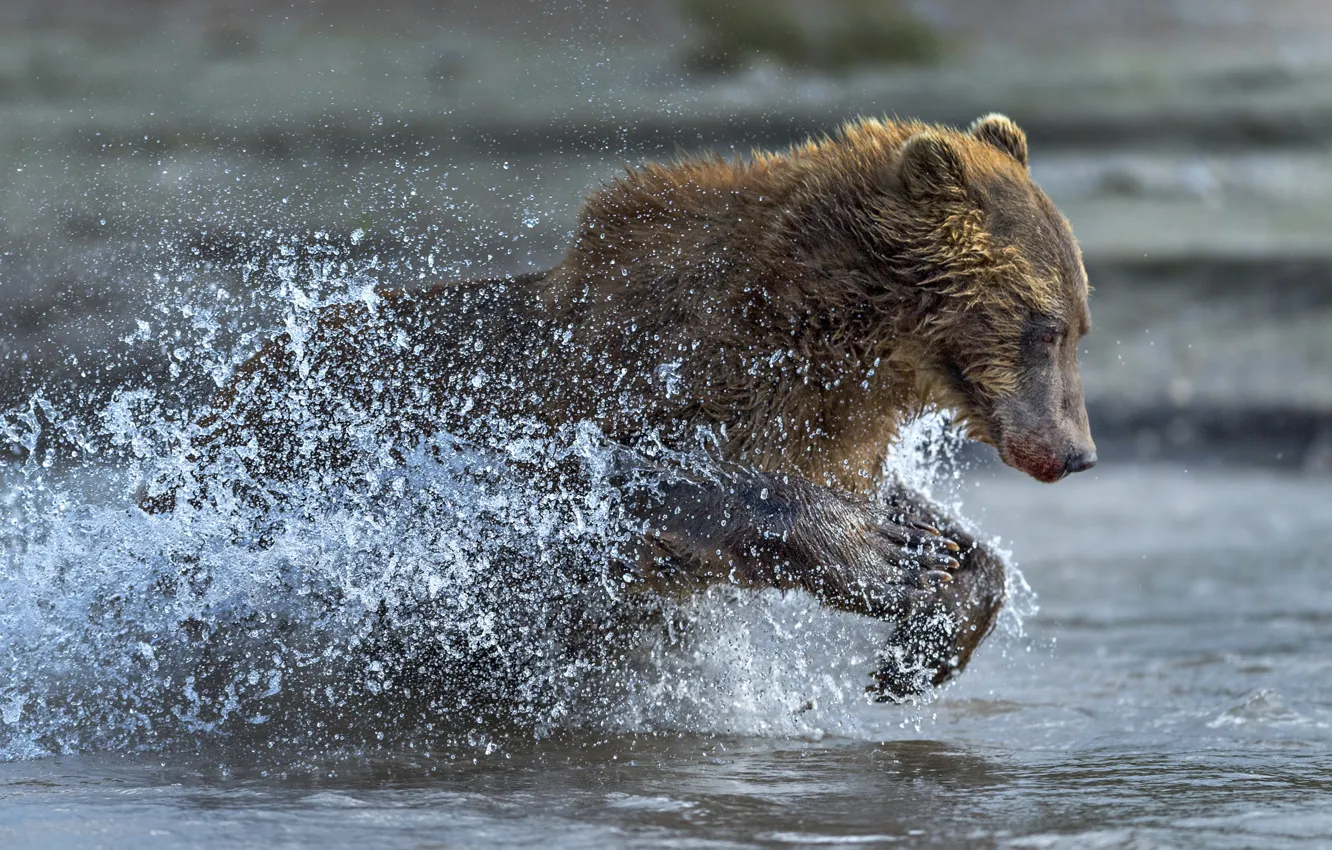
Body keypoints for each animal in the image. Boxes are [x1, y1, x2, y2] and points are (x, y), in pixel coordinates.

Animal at [143, 113, 1095, 702]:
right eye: (1043, 326)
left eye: (1080, 324)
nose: (1078, 450)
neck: (822, 338)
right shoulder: (629, 379)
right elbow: (619, 484)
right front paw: (889, 560)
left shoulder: (827, 428)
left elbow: (913, 514)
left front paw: (930, 615)